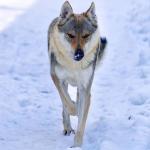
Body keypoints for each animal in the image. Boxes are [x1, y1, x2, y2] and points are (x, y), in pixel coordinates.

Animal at [47, 0, 107, 147]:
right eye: (70, 35)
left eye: (86, 36)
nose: (79, 54)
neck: (73, 65)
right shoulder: (56, 78)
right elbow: (68, 103)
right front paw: (74, 108)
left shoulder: (85, 88)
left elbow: (81, 121)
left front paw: (76, 146)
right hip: (64, 83)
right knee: (65, 104)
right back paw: (67, 127)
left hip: (81, 88)